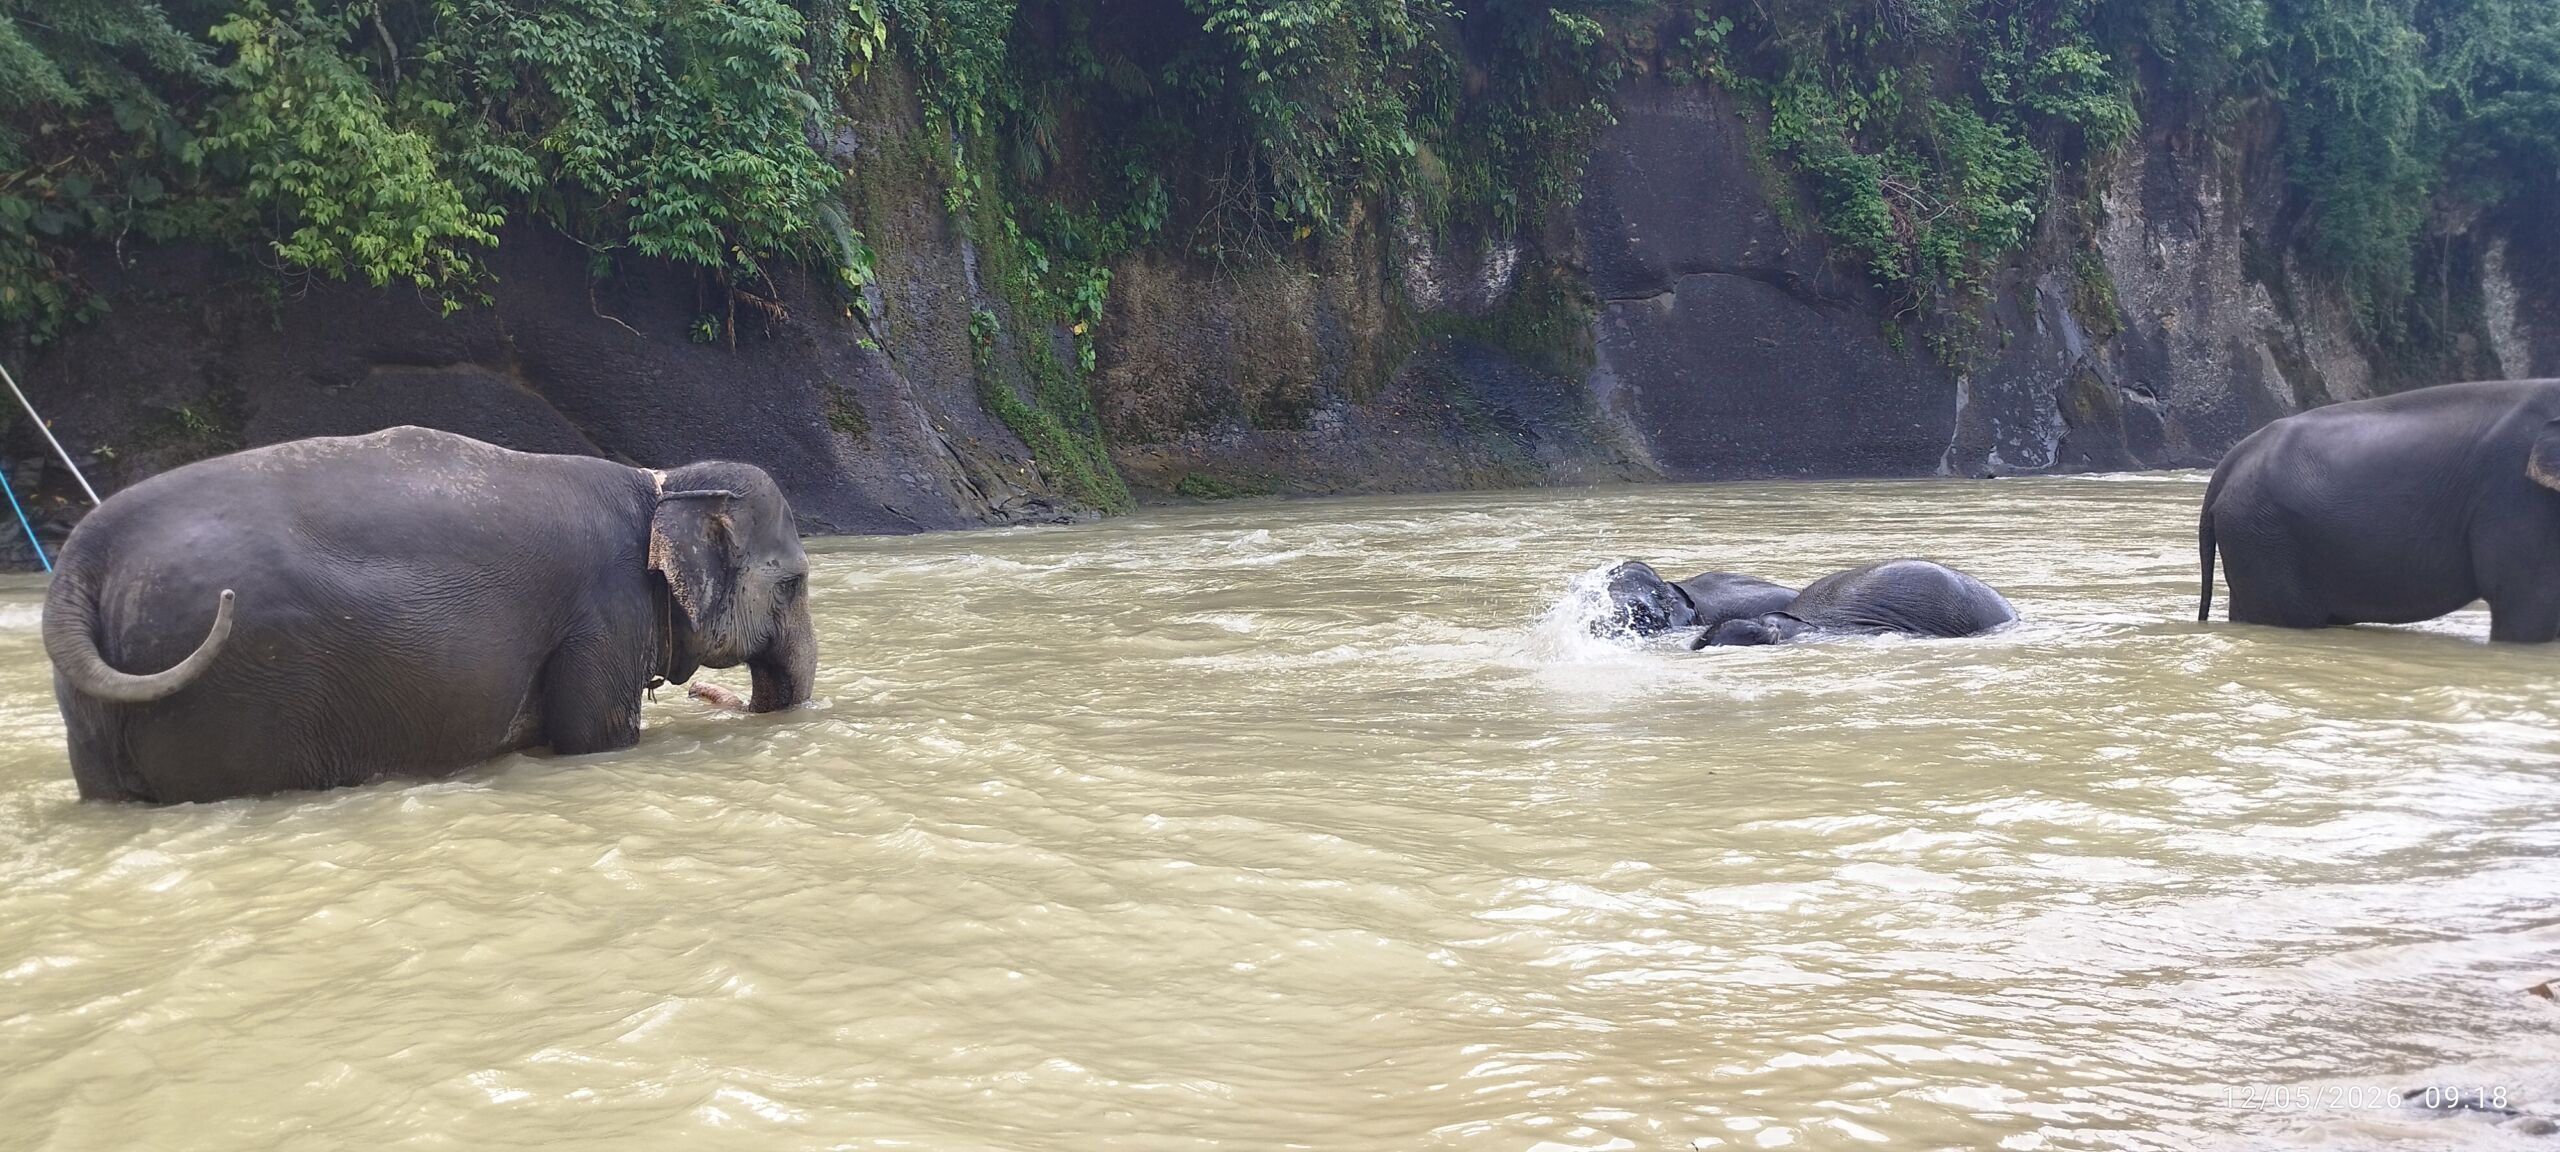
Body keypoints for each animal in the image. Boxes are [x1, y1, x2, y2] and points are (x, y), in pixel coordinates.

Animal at [42, 426, 818, 804]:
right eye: (793, 584)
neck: (659, 482)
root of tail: (82, 556)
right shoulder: (602, 613)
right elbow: (594, 738)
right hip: (237, 691)